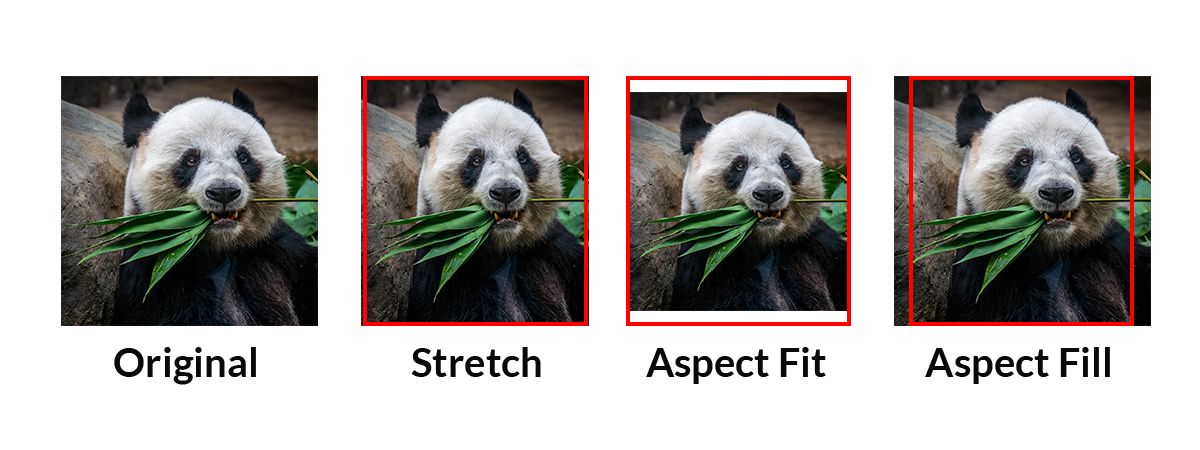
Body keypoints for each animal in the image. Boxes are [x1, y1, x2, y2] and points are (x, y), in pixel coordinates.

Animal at [113, 90, 317, 325]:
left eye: (243, 156)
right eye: (191, 160)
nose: (224, 192)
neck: (220, 247)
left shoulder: (276, 247)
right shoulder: (155, 268)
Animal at [407, 89, 584, 321]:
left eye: (523, 157)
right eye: (476, 160)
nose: (505, 191)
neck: (501, 246)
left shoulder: (555, 250)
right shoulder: (444, 268)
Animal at [671, 104, 846, 311]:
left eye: (785, 162)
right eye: (739, 165)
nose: (768, 193)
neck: (765, 241)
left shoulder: (815, 243)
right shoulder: (708, 261)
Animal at [949, 89, 1150, 324]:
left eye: (1076, 156)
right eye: (1024, 160)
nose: (1057, 191)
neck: (1054, 247)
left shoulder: (1109, 247)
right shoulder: (989, 269)